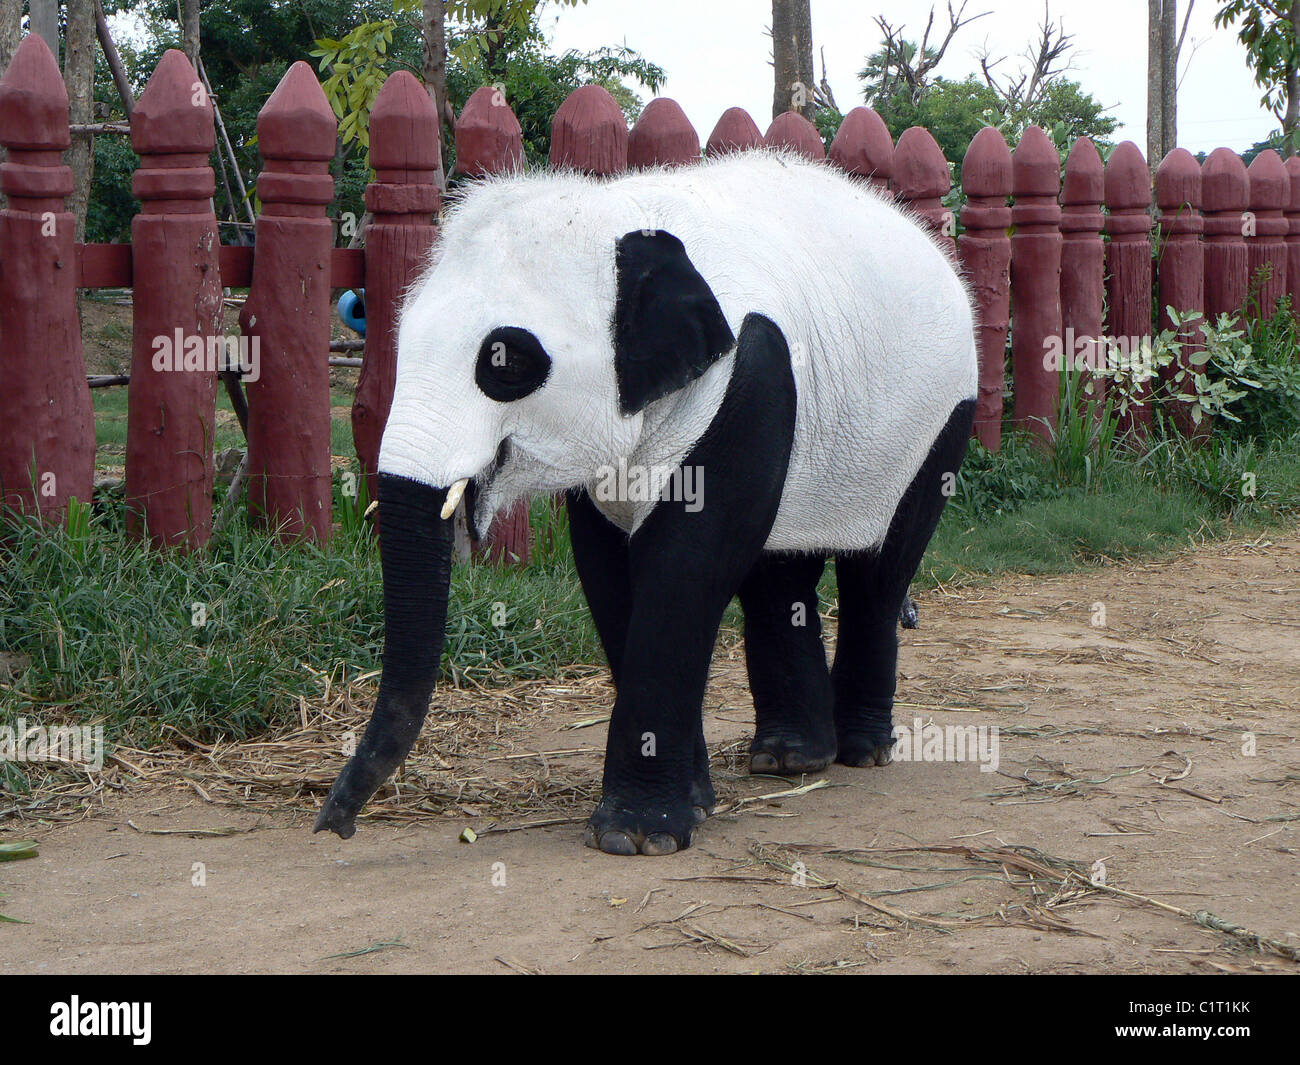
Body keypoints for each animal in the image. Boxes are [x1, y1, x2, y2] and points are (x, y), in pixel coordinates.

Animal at [317, 147, 977, 858]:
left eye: (505, 362)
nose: (336, 823)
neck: (614, 209)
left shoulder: (748, 373)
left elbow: (684, 567)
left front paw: (635, 835)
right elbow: (608, 570)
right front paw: (692, 804)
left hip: (937, 419)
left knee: (880, 571)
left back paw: (860, 752)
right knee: (780, 574)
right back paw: (790, 759)